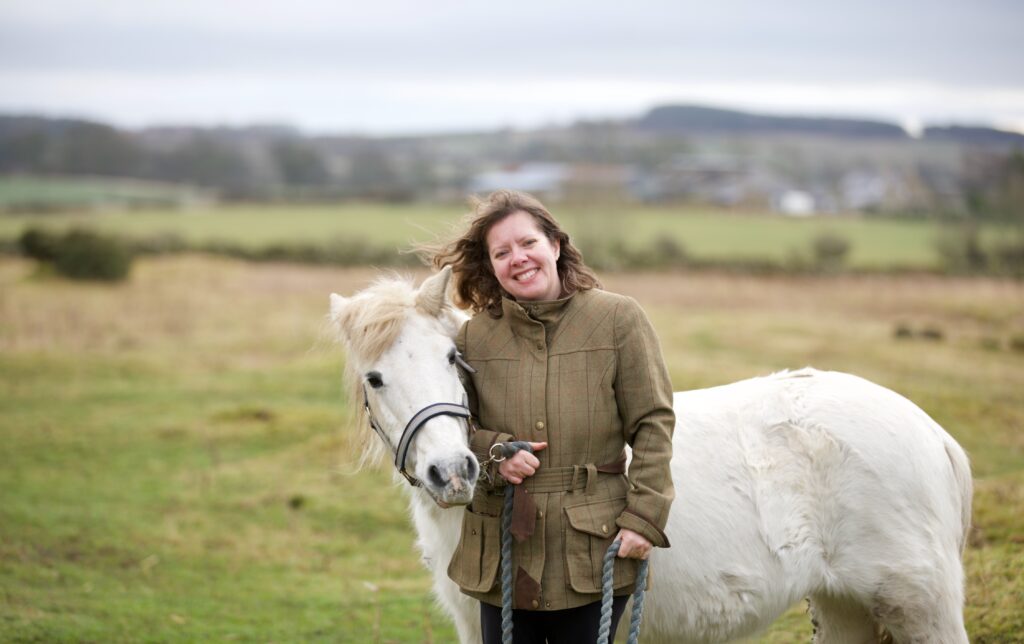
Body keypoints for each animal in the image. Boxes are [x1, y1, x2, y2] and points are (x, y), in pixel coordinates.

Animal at [327, 268, 966, 638]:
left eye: (451, 359)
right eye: (375, 378)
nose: (453, 473)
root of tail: (932, 432)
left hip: (920, 606)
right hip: (844, 605)